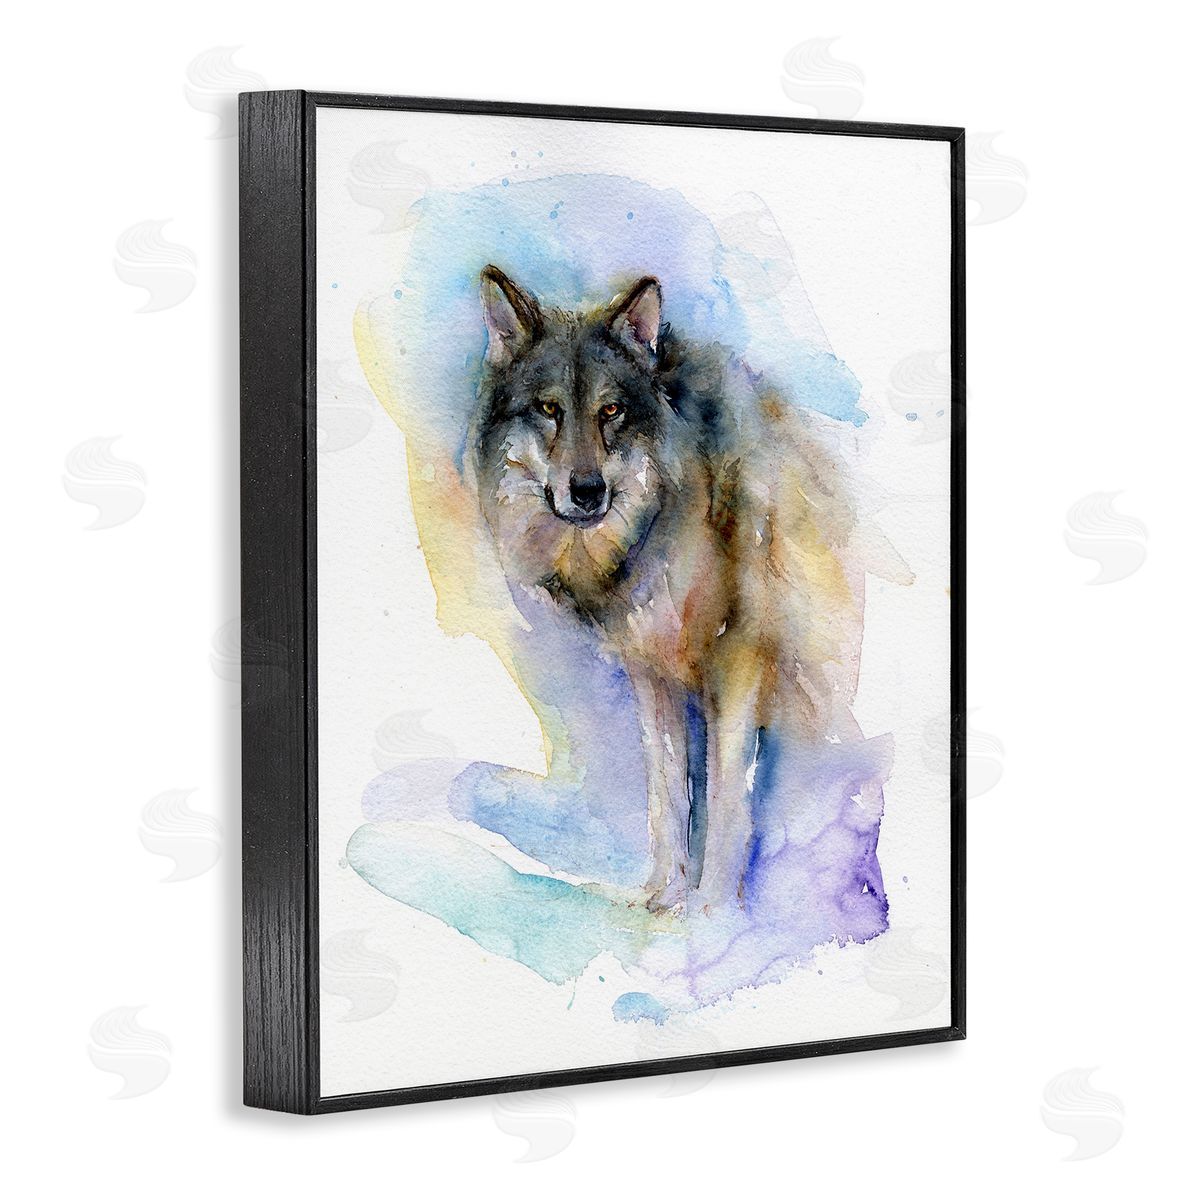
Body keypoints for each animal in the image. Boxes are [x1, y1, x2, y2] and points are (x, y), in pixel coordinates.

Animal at [469, 265, 866, 912]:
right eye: (549, 409)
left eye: (610, 411)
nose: (586, 491)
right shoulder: (652, 674)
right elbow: (667, 792)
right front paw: (662, 894)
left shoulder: (737, 660)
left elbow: (726, 799)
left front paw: (711, 911)